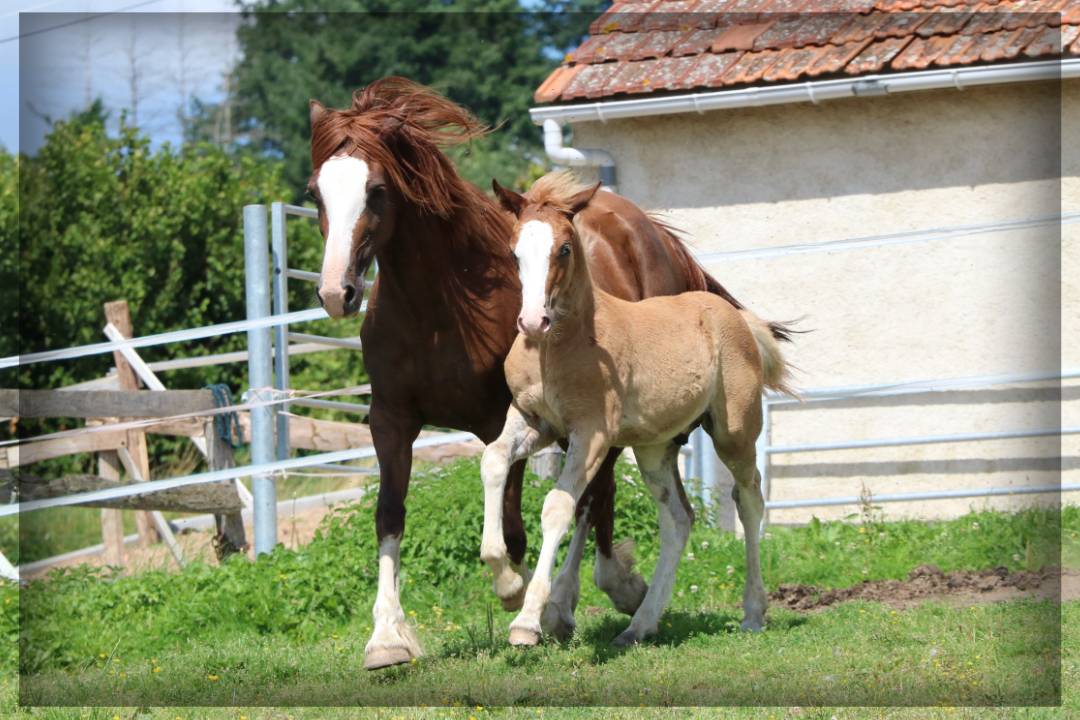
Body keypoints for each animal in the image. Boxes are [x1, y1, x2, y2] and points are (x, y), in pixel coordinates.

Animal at [483, 179, 793, 647]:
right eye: (515, 250)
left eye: (565, 248)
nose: (533, 321)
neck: (562, 346)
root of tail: (736, 317)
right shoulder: (533, 421)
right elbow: (493, 460)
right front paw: (505, 583)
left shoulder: (591, 434)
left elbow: (559, 506)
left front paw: (528, 621)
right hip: (655, 448)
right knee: (679, 518)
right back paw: (640, 624)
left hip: (734, 432)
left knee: (749, 499)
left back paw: (753, 612)